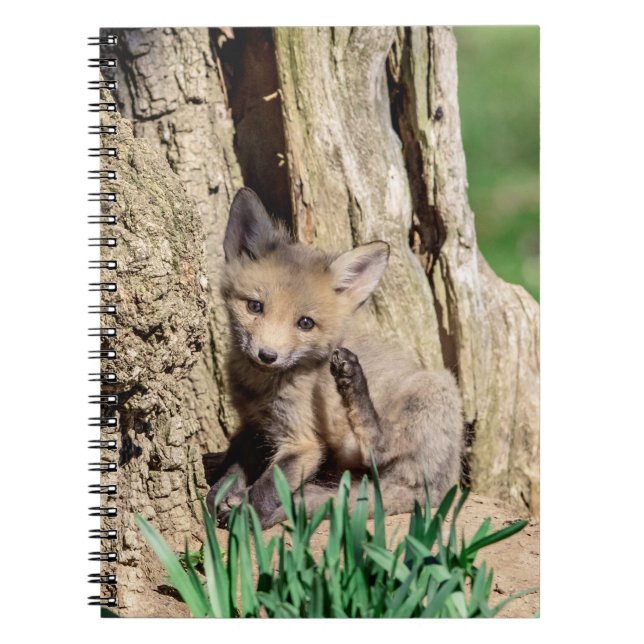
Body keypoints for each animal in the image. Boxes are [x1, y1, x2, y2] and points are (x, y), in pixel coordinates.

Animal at [204, 187, 463, 529]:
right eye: (255, 307)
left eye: (305, 323)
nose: (267, 355)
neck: (263, 389)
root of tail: (441, 486)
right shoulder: (254, 425)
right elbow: (234, 464)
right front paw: (221, 493)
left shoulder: (304, 442)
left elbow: (269, 485)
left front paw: (246, 516)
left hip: (435, 389)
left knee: (378, 447)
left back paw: (352, 379)